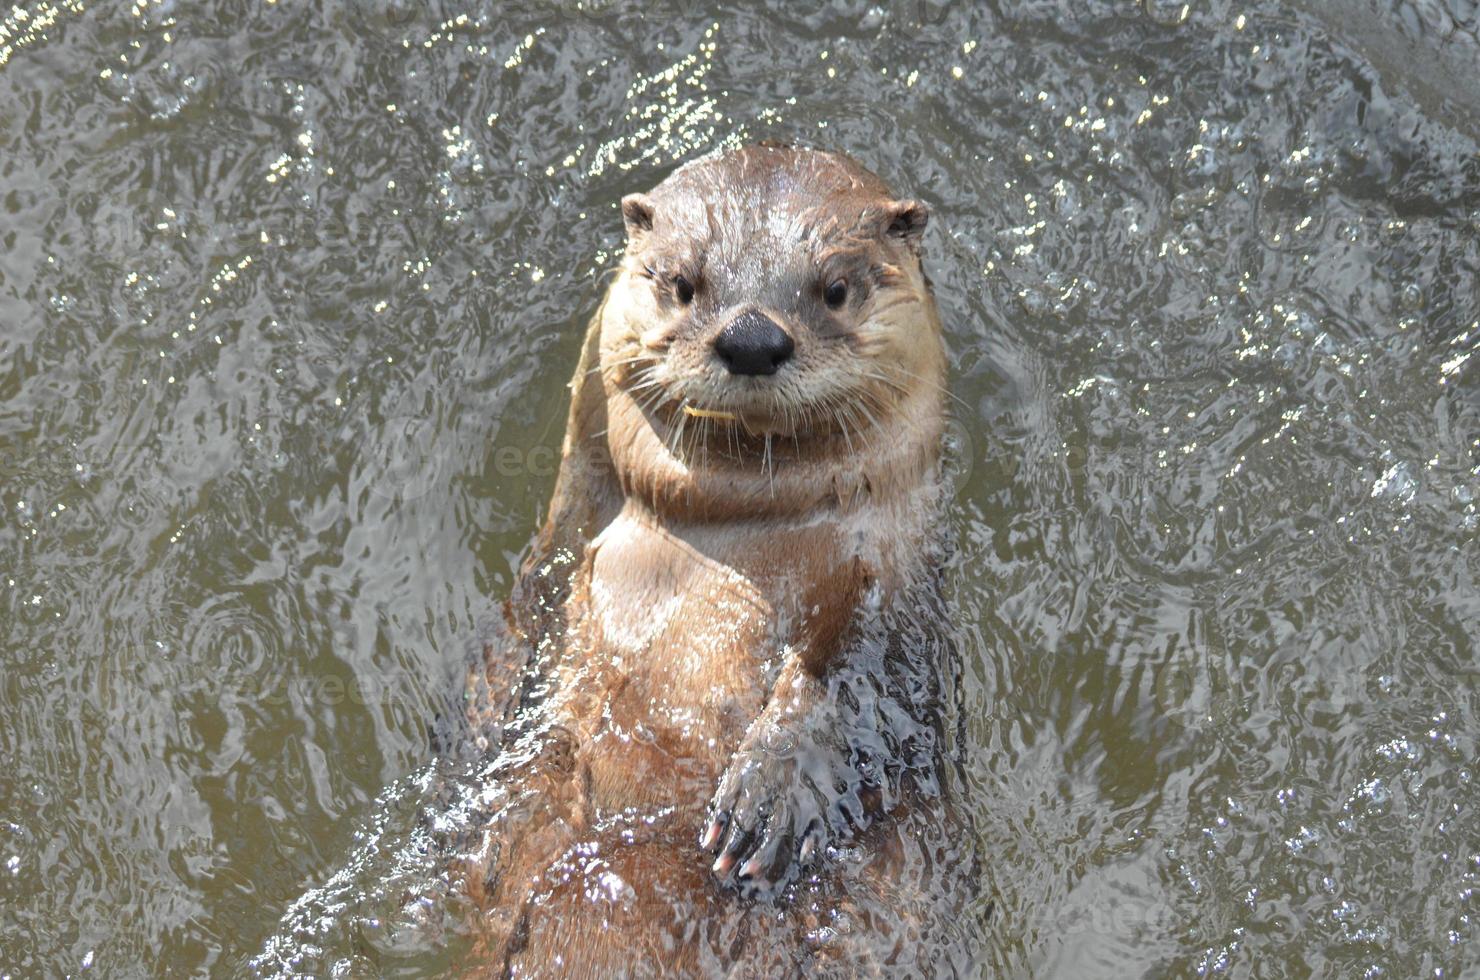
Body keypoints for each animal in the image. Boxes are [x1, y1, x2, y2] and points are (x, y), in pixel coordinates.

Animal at [455, 142, 976, 977]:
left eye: (835, 289)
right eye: (681, 282)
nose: (753, 338)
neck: (726, 544)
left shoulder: (898, 582)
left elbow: (863, 678)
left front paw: (766, 796)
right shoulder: (567, 525)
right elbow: (526, 607)